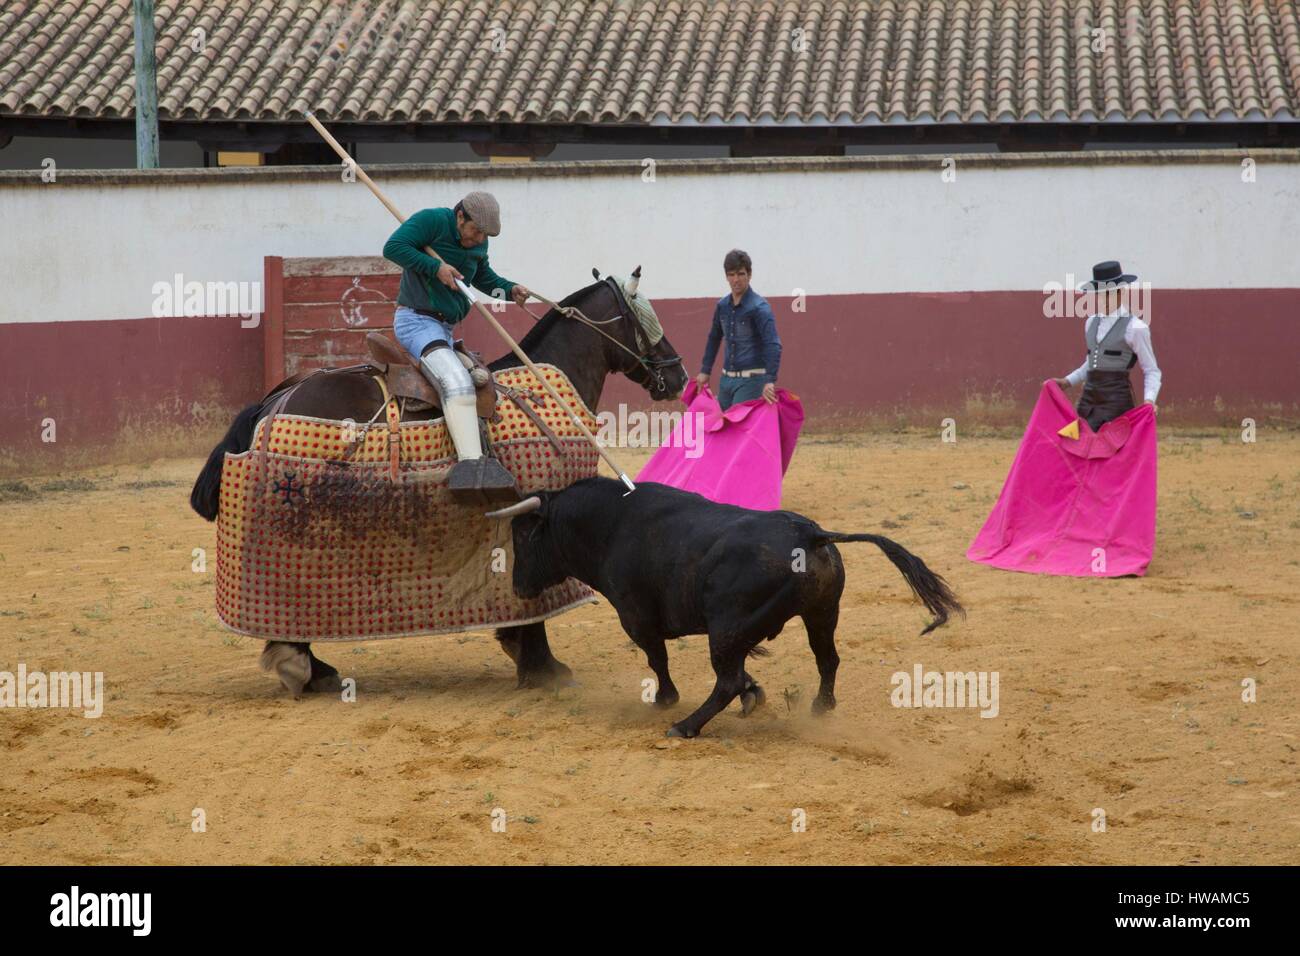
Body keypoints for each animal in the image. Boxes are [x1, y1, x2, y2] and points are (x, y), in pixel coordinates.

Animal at [191, 274, 691, 697]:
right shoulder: (531, 520)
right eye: (647, 318)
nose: (680, 376)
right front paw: (542, 666)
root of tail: (275, 400)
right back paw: (302, 666)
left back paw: (312, 668)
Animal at [488, 478, 967, 738]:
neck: (610, 526)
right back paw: (819, 708)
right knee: (826, 659)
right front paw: (757, 692)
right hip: (820, 614)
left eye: (524, 535)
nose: (518, 586)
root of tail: (810, 533)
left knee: (726, 680)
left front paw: (664, 700)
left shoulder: (637, 619)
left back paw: (685, 726)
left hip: (727, 626)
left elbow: (658, 659)